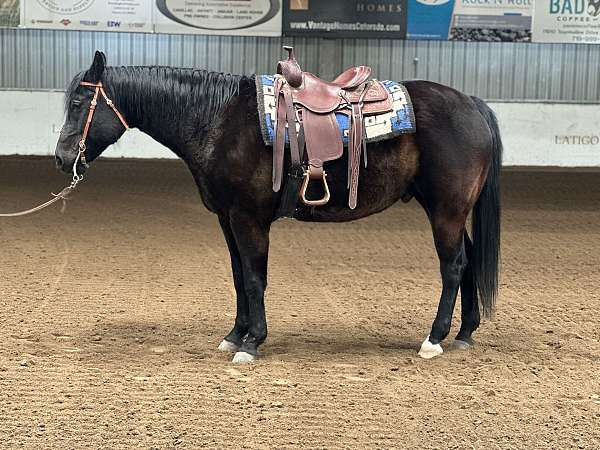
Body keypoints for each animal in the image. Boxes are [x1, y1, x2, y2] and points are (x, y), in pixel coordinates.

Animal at [55, 51, 502, 364]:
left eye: (79, 104)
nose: (61, 158)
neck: (219, 120)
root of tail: (471, 103)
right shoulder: (227, 218)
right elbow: (239, 277)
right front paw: (235, 335)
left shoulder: (248, 218)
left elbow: (255, 278)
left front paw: (252, 342)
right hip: (447, 209)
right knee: (468, 259)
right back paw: (464, 333)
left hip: (446, 209)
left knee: (453, 266)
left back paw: (434, 339)